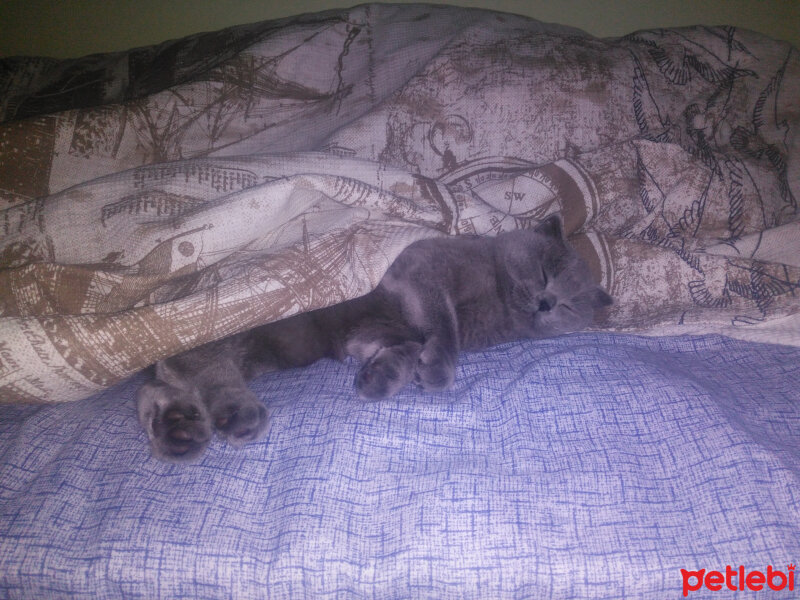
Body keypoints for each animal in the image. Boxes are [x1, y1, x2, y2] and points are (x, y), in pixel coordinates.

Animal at [139, 213, 612, 462]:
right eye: (545, 273)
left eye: (570, 305)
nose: (547, 303)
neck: (494, 301)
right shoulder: (423, 268)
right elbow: (443, 326)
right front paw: (437, 371)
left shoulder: (378, 329)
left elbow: (407, 345)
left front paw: (380, 377)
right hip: (245, 327)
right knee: (199, 366)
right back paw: (233, 415)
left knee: (162, 383)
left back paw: (178, 431)